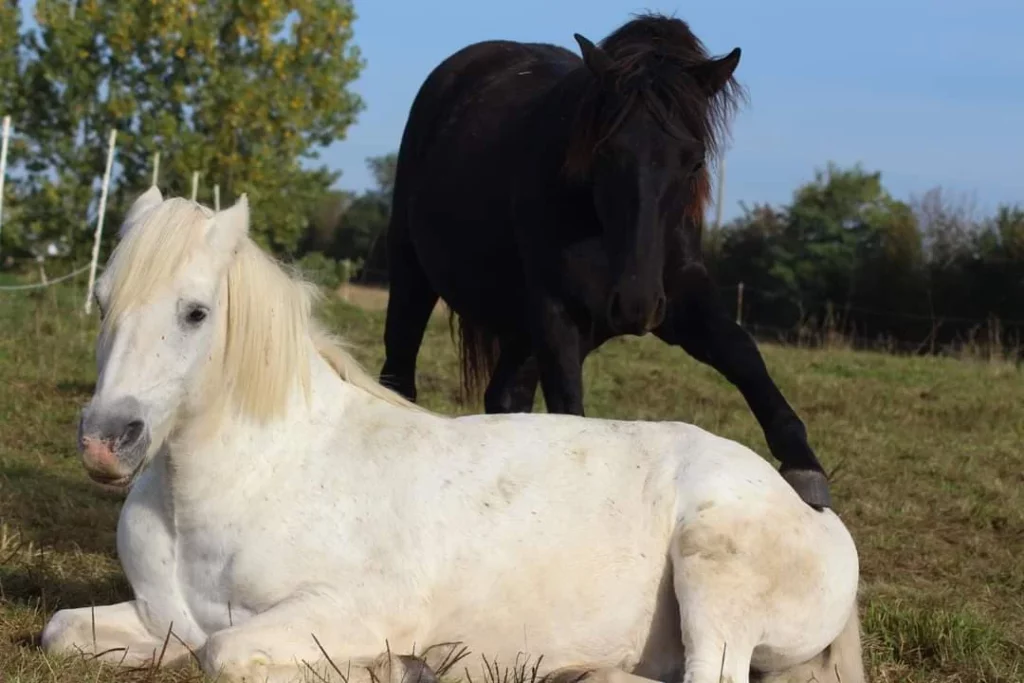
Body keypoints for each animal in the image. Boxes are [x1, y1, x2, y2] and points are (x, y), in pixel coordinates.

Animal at [39, 188, 864, 683]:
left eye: (196, 312)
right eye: (103, 300)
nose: (106, 440)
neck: (262, 474)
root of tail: (811, 508)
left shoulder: (348, 610)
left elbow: (225, 652)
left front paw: (397, 667)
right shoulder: (159, 619)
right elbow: (62, 629)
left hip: (710, 578)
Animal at [378, 13, 831, 509]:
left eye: (694, 162)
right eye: (604, 151)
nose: (634, 304)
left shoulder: (681, 299)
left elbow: (743, 355)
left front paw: (805, 467)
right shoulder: (556, 312)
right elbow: (571, 410)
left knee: (505, 397)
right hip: (413, 271)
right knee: (399, 368)